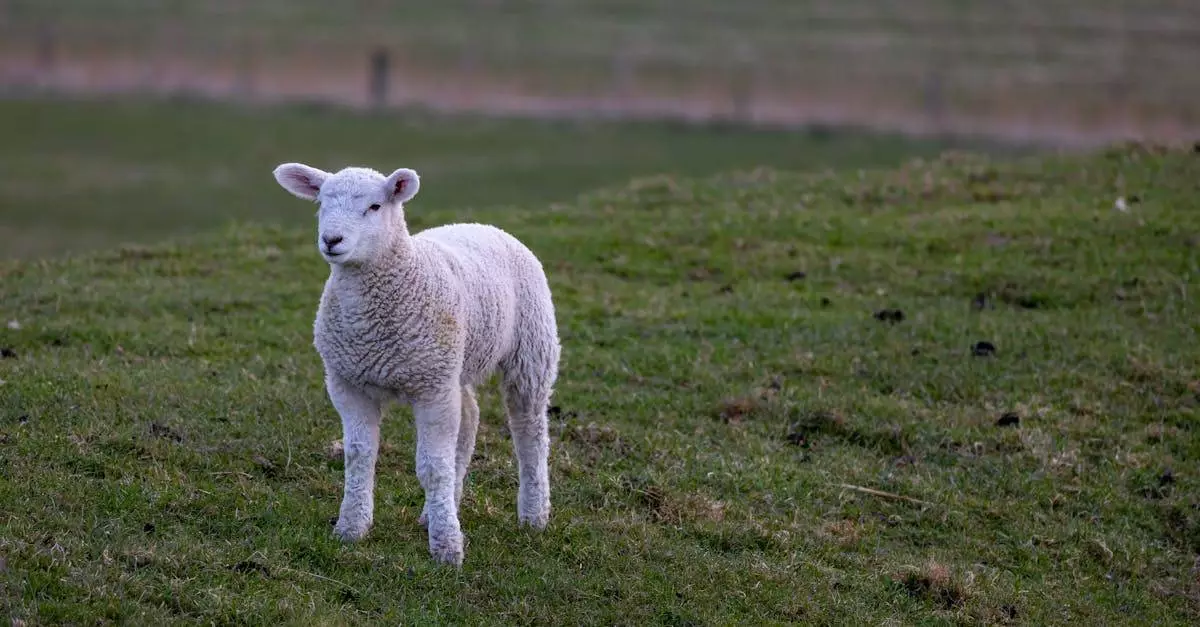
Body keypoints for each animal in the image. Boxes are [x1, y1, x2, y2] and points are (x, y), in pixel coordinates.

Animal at [272, 162, 561, 566]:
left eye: (375, 206)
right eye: (321, 203)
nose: (332, 240)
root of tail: (481, 225)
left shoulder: (431, 389)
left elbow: (432, 468)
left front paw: (447, 548)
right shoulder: (348, 383)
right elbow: (359, 457)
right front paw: (351, 529)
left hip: (530, 348)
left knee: (529, 429)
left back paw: (534, 515)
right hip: (453, 365)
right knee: (469, 419)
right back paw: (438, 510)